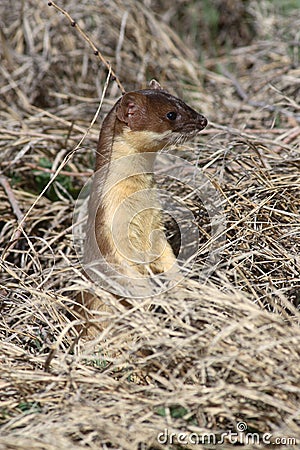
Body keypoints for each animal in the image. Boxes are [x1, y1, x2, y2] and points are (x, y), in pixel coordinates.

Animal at [75, 81, 206, 322]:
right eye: (171, 114)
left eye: (184, 102)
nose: (203, 119)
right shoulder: (107, 229)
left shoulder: (156, 227)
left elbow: (167, 258)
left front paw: (180, 287)